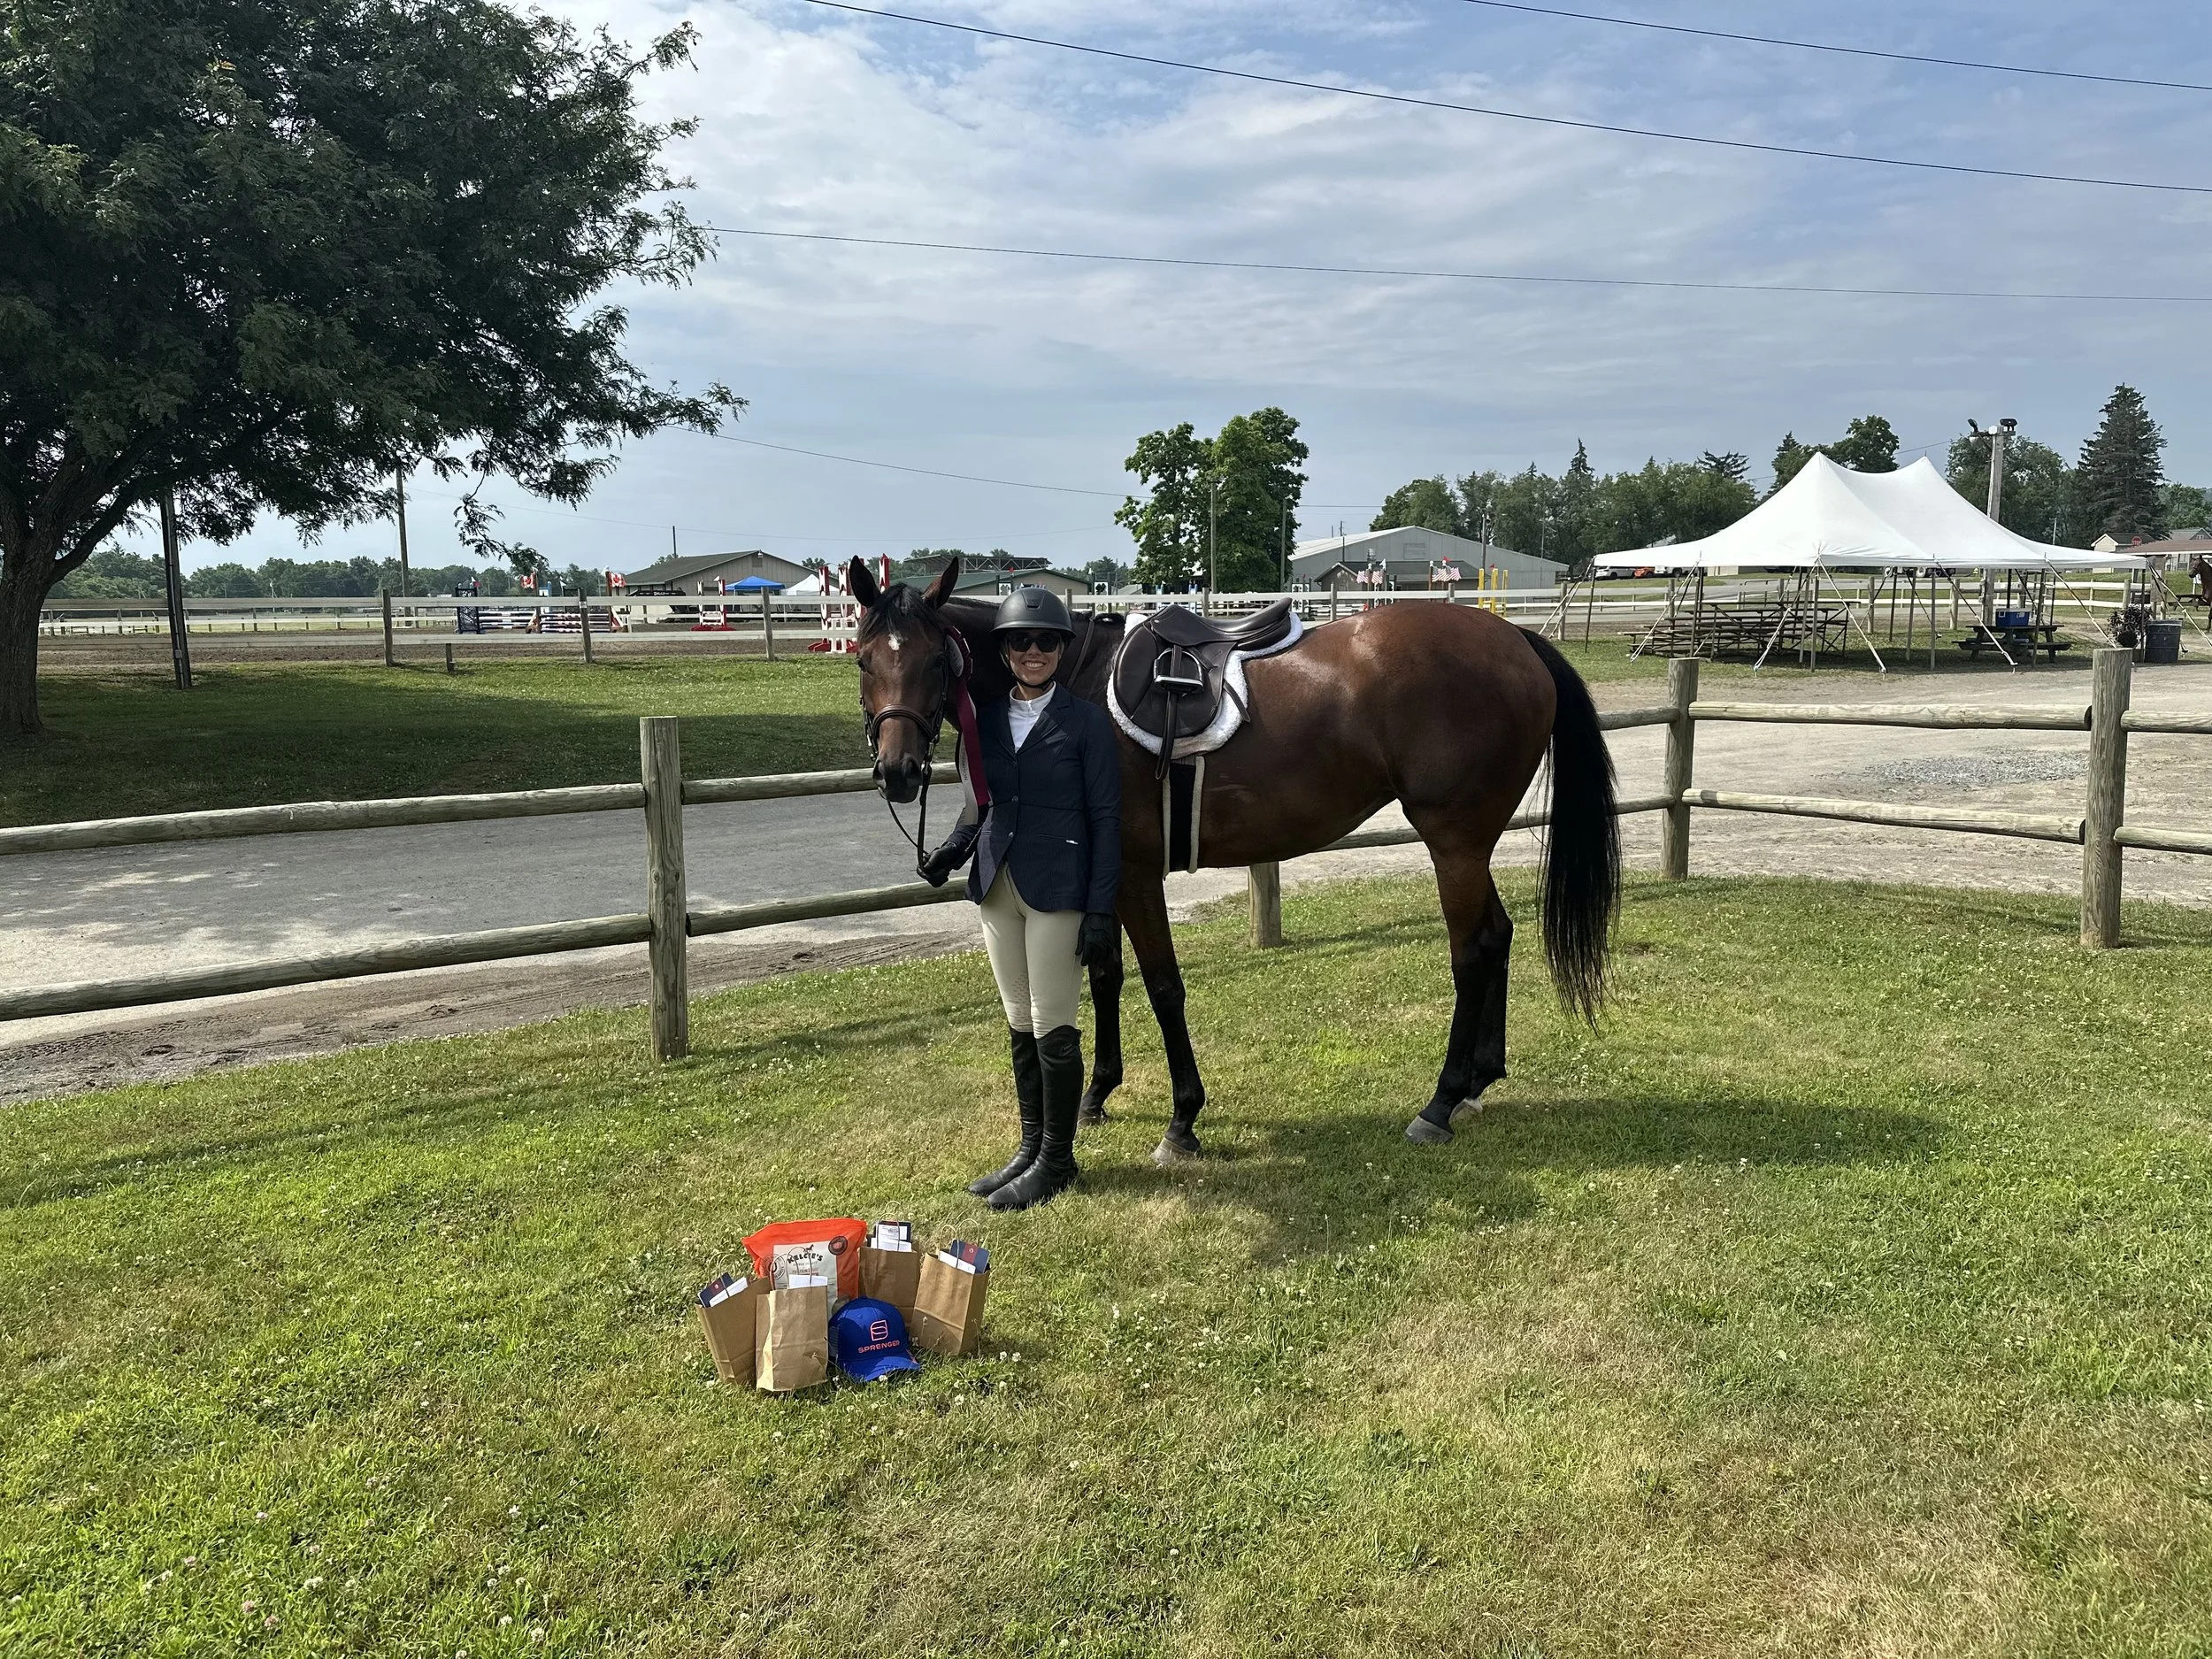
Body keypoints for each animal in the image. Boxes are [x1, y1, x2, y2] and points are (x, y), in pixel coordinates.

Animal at [851, 555, 1620, 1163]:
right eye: (864, 659)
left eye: (934, 661)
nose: (898, 771)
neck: (1073, 684)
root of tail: (1517, 638)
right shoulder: (1102, 875)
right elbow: (1105, 976)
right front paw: (1098, 1094)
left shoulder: (1135, 875)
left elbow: (1162, 986)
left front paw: (1182, 1119)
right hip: (1470, 844)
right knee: (1499, 935)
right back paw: (1479, 1080)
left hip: (1453, 841)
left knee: (1471, 950)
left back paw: (1440, 1100)